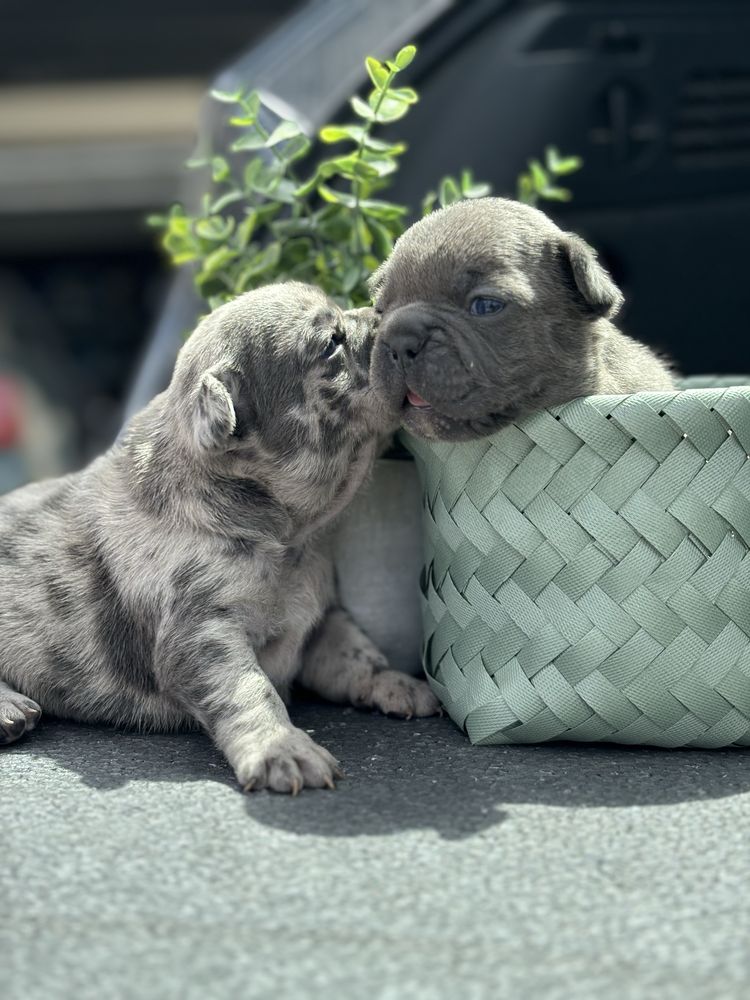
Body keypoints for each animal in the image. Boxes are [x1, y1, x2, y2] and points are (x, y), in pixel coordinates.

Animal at [0, 284, 440, 796]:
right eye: (331, 342)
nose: (387, 315)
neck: (289, 539)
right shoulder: (203, 634)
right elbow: (249, 689)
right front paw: (284, 751)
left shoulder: (321, 620)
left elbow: (357, 652)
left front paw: (398, 684)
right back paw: (10, 709)